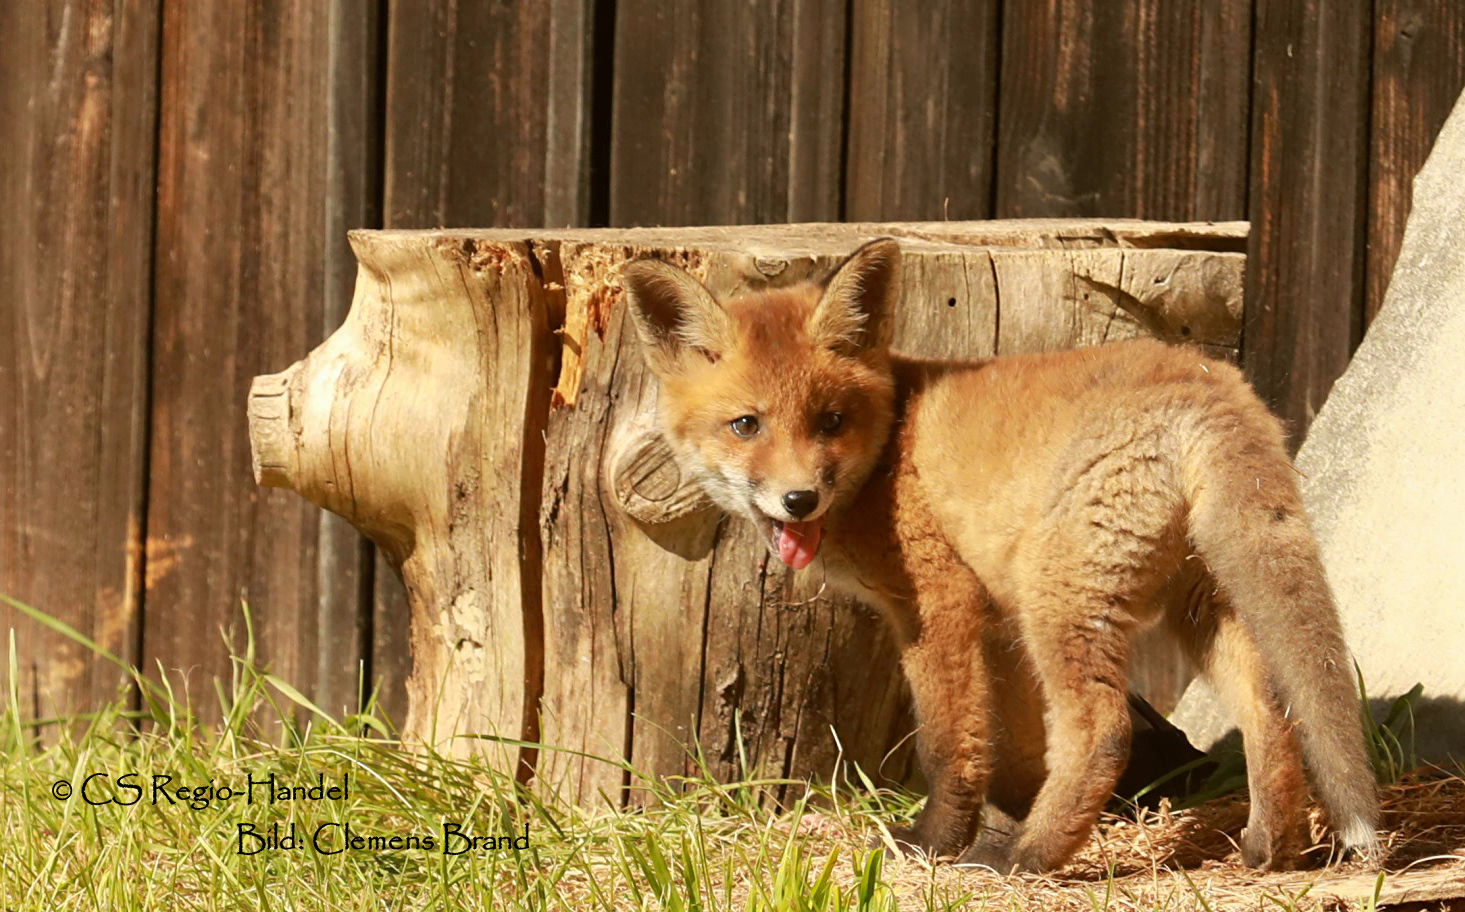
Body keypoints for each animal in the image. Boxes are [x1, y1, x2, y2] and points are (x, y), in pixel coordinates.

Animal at [624, 238, 1377, 872]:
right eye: (745, 425)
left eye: (830, 421)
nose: (798, 500)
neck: (892, 446)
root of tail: (1203, 380)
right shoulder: (998, 628)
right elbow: (1015, 751)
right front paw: (1001, 825)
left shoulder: (939, 607)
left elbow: (950, 744)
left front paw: (939, 843)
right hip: (1194, 604)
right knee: (1267, 709)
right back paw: (1269, 848)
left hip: (1062, 599)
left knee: (1103, 730)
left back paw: (1031, 857)